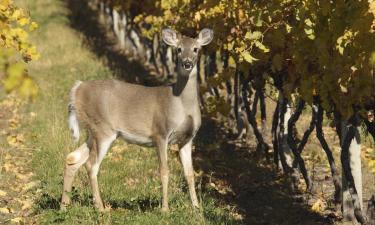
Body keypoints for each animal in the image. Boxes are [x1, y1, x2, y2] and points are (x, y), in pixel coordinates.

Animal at [61, 27, 214, 211]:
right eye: (178, 49)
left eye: (196, 49)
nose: (187, 63)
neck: (181, 103)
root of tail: (77, 90)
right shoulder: (160, 133)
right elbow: (164, 171)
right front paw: (165, 209)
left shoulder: (187, 138)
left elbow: (190, 174)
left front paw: (197, 208)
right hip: (103, 129)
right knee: (91, 165)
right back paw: (101, 208)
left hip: (93, 131)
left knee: (73, 158)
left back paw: (64, 206)